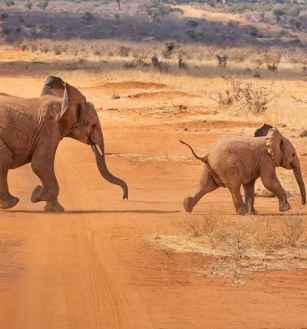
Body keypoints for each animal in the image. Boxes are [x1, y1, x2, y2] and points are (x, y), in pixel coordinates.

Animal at [0, 76, 127, 211]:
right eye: (93, 126)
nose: (125, 197)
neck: (63, 103)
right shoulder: (49, 129)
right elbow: (40, 164)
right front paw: (37, 195)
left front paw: (53, 208)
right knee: (5, 159)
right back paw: (12, 203)